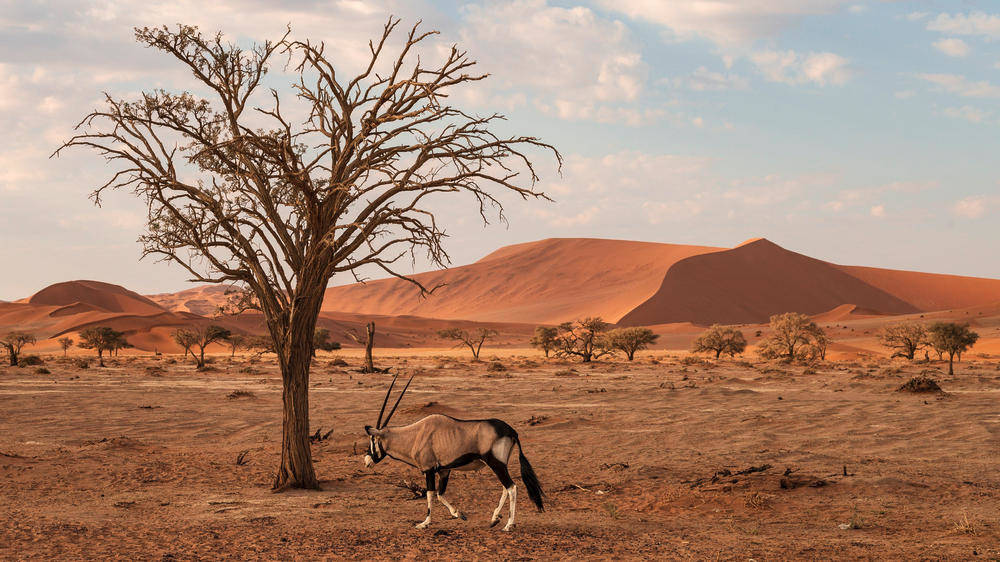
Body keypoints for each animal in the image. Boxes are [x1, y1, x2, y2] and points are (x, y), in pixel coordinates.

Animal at [364, 374, 544, 528]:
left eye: (372, 440)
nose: (367, 460)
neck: (416, 435)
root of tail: (512, 431)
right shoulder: (444, 470)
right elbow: (440, 494)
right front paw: (458, 514)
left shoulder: (429, 470)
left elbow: (430, 494)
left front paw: (425, 523)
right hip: (499, 465)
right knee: (505, 488)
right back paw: (495, 518)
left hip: (496, 463)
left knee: (512, 487)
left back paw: (508, 525)